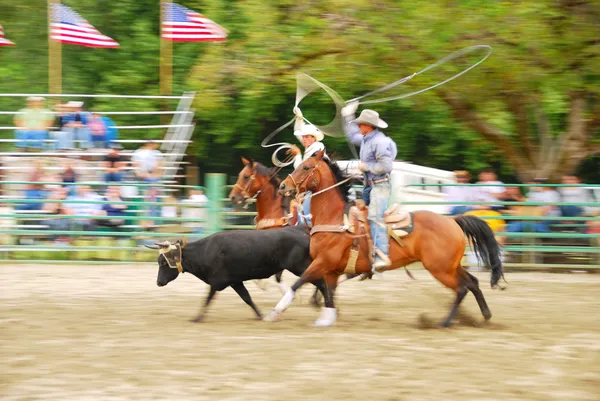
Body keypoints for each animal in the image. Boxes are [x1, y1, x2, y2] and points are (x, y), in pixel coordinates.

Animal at [264, 148, 504, 326]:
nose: (283, 186)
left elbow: (299, 283)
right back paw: (485, 316)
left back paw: (445, 322)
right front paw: (327, 318)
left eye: (305, 167)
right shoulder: (331, 270)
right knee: (472, 283)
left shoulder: (323, 262)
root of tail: (452, 221)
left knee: (462, 288)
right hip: (450, 266)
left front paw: (275, 312)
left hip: (440, 269)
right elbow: (329, 294)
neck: (335, 218)